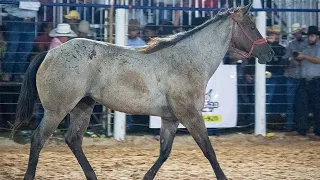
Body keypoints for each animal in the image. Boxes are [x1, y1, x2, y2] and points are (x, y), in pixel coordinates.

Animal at [12, 3, 272, 180]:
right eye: (252, 26)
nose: (269, 54)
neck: (188, 60)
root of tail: (50, 53)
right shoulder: (190, 115)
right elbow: (208, 150)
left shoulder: (171, 118)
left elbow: (165, 152)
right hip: (56, 110)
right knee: (38, 139)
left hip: (83, 106)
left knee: (73, 140)